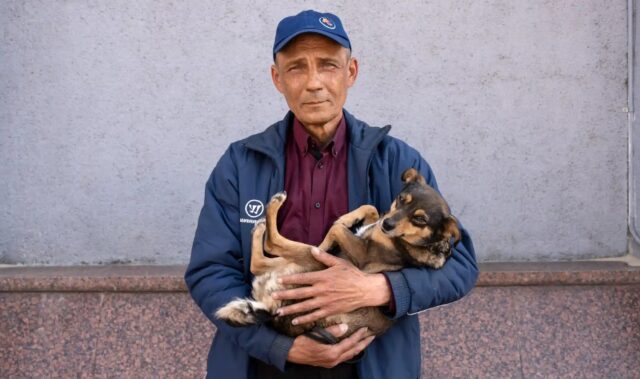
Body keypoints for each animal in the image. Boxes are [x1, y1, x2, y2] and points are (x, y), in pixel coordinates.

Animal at [216, 168, 460, 342]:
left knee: (270, 246)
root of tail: (273, 312)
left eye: (420, 219)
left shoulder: (362, 254)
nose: (388, 225)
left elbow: (336, 229)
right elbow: (370, 209)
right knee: (261, 261)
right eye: (402, 199)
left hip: (309, 261)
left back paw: (273, 209)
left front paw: (328, 239)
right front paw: (352, 218)